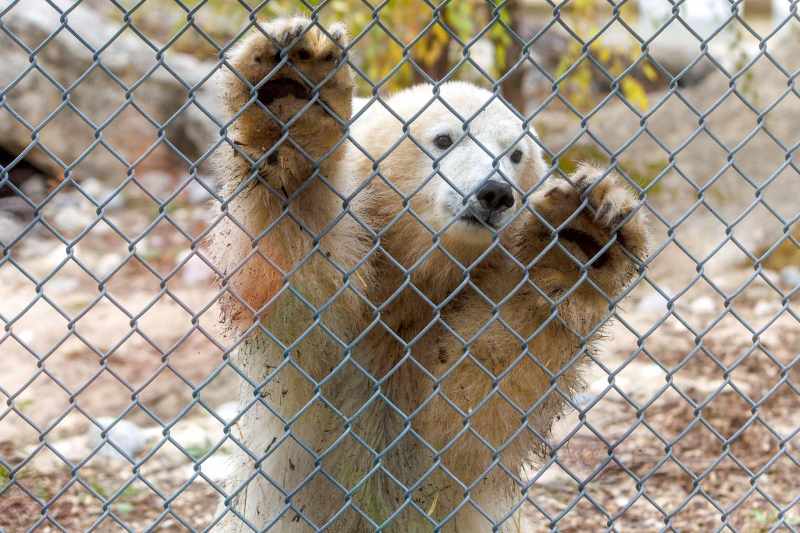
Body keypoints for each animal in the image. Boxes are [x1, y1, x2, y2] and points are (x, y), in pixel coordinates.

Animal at [209, 16, 651, 532]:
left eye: (515, 153)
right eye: (444, 139)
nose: (495, 192)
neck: (404, 289)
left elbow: (471, 398)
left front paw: (582, 236)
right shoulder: (323, 367)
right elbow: (297, 281)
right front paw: (290, 97)